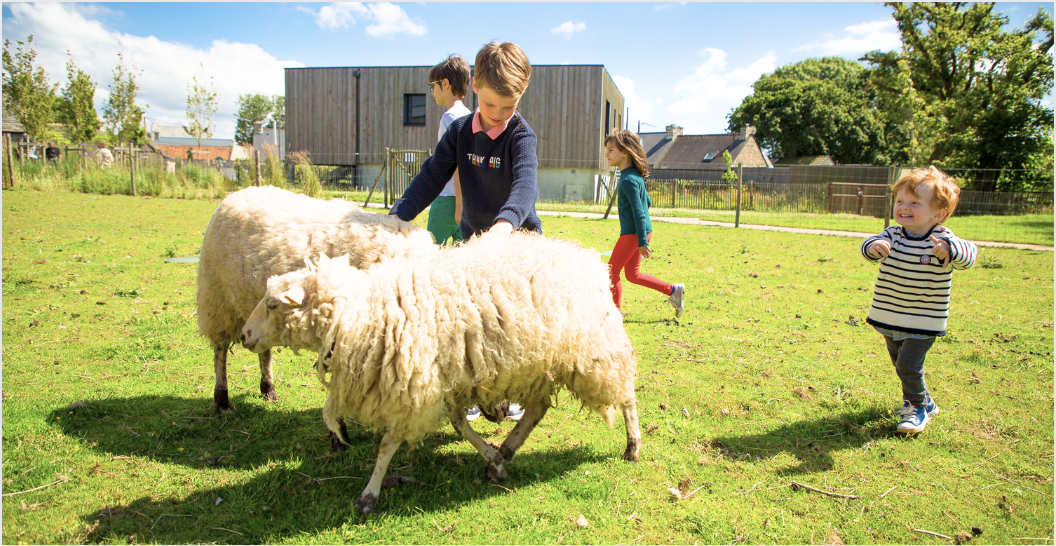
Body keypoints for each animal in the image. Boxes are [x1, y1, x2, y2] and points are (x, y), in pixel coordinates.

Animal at [195, 184, 437, 420]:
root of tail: (236, 194)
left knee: (264, 350)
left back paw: (268, 389)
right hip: (217, 300)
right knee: (220, 351)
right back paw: (222, 399)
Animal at [241, 231, 637, 515]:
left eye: (272, 304)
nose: (244, 335)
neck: (362, 313)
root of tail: (585, 259)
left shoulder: (412, 389)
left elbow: (387, 445)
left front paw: (368, 495)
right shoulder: (443, 384)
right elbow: (461, 427)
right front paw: (493, 460)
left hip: (597, 353)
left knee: (627, 395)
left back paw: (633, 446)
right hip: (536, 366)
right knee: (537, 410)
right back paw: (508, 449)